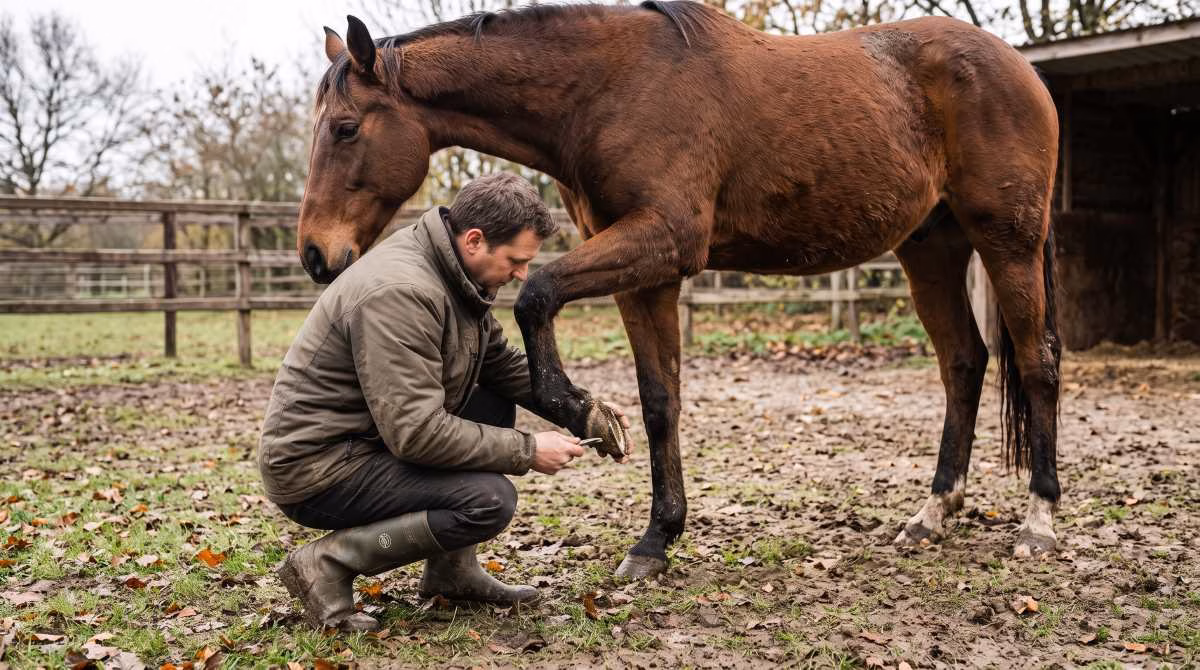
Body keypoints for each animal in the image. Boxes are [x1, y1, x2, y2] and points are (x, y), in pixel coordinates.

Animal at [298, 1, 1062, 580]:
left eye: (346, 128)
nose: (315, 254)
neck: (610, 88)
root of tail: (1019, 67)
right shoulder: (649, 276)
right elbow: (660, 400)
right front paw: (656, 539)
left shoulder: (662, 241)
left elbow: (537, 292)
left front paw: (577, 409)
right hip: (929, 247)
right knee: (964, 363)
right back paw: (933, 514)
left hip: (1008, 243)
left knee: (1036, 364)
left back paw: (1039, 521)